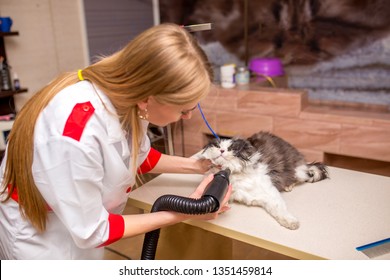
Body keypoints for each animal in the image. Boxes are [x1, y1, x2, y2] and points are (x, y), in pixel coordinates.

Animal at [198, 131, 330, 230]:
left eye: (231, 148)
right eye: (217, 147)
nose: (221, 151)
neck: (233, 173)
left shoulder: (269, 191)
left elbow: (280, 209)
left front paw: (291, 222)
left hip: (298, 172)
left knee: (301, 176)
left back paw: (289, 186)